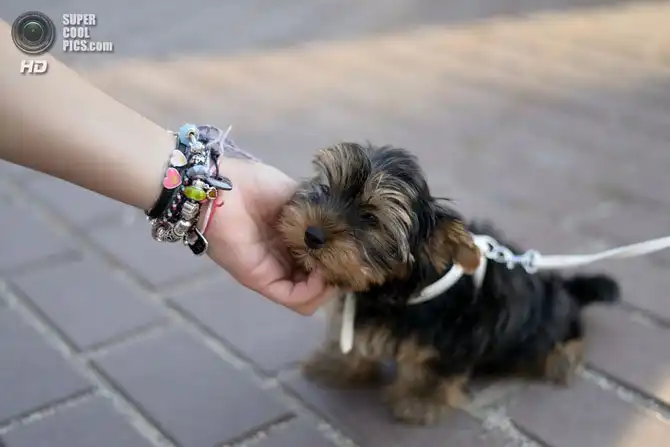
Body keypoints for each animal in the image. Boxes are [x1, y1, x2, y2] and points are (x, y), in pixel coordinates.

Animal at [277, 142, 619, 425]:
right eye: (326, 187)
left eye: (371, 218)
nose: (312, 234)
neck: (390, 289)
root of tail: (565, 290)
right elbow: (352, 341)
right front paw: (336, 363)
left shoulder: (457, 332)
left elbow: (433, 365)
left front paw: (419, 400)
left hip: (547, 324)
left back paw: (562, 359)